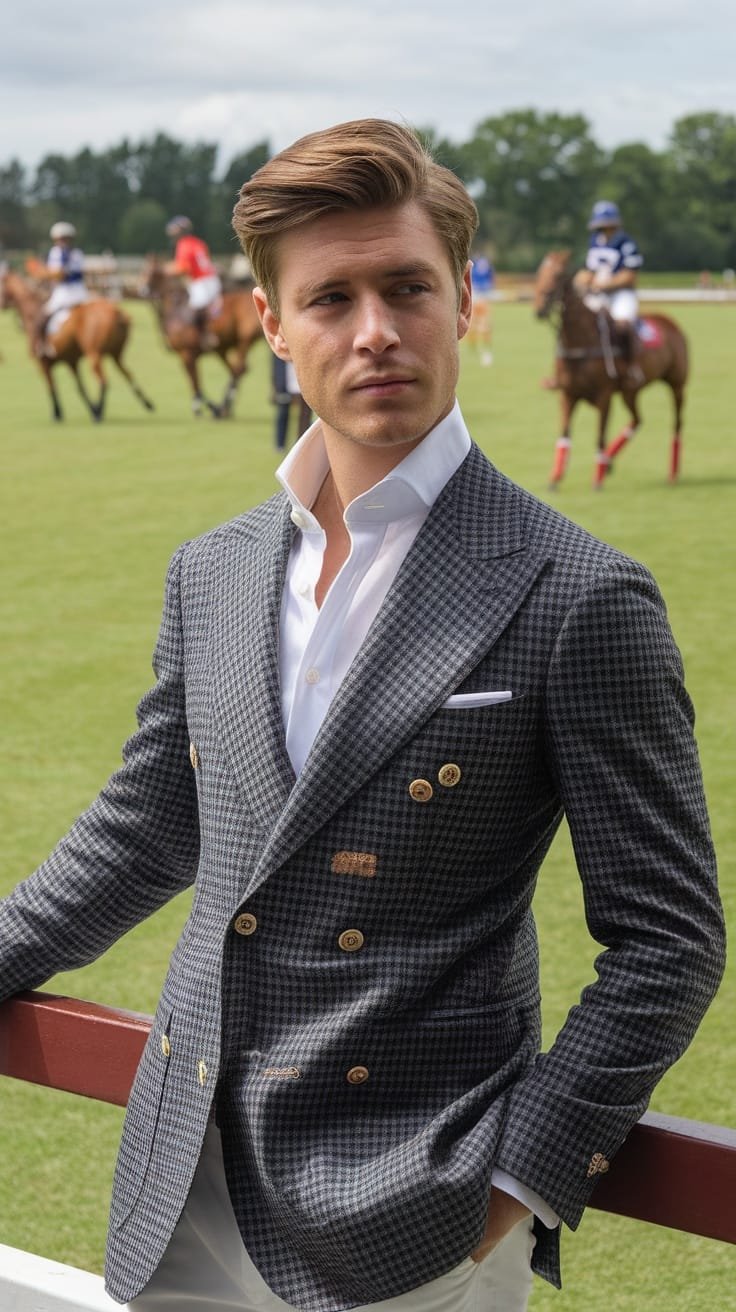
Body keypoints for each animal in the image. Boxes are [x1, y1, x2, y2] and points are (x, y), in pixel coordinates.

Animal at [1, 270, 153, 422]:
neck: (32, 314)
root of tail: (117, 313)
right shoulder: (71, 362)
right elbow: (80, 388)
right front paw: (90, 409)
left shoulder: (43, 362)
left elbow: (52, 386)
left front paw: (57, 413)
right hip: (116, 354)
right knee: (128, 374)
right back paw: (147, 403)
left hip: (94, 354)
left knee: (103, 381)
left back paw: (99, 413)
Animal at [139, 258, 262, 417]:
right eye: (143, 272)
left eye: (151, 274)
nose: (142, 291)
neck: (176, 308)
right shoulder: (186, 356)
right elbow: (194, 381)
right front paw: (208, 407)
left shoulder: (187, 353)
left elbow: (195, 381)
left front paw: (199, 408)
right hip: (223, 347)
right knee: (238, 369)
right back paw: (226, 407)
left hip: (245, 339)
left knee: (238, 368)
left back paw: (223, 406)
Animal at [532, 249, 687, 488]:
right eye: (539, 272)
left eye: (557, 275)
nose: (539, 309)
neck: (581, 343)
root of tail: (669, 320)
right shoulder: (568, 395)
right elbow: (564, 436)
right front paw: (555, 478)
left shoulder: (604, 396)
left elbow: (599, 436)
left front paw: (597, 479)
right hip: (630, 392)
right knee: (637, 419)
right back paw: (610, 461)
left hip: (676, 385)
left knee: (677, 424)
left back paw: (672, 473)